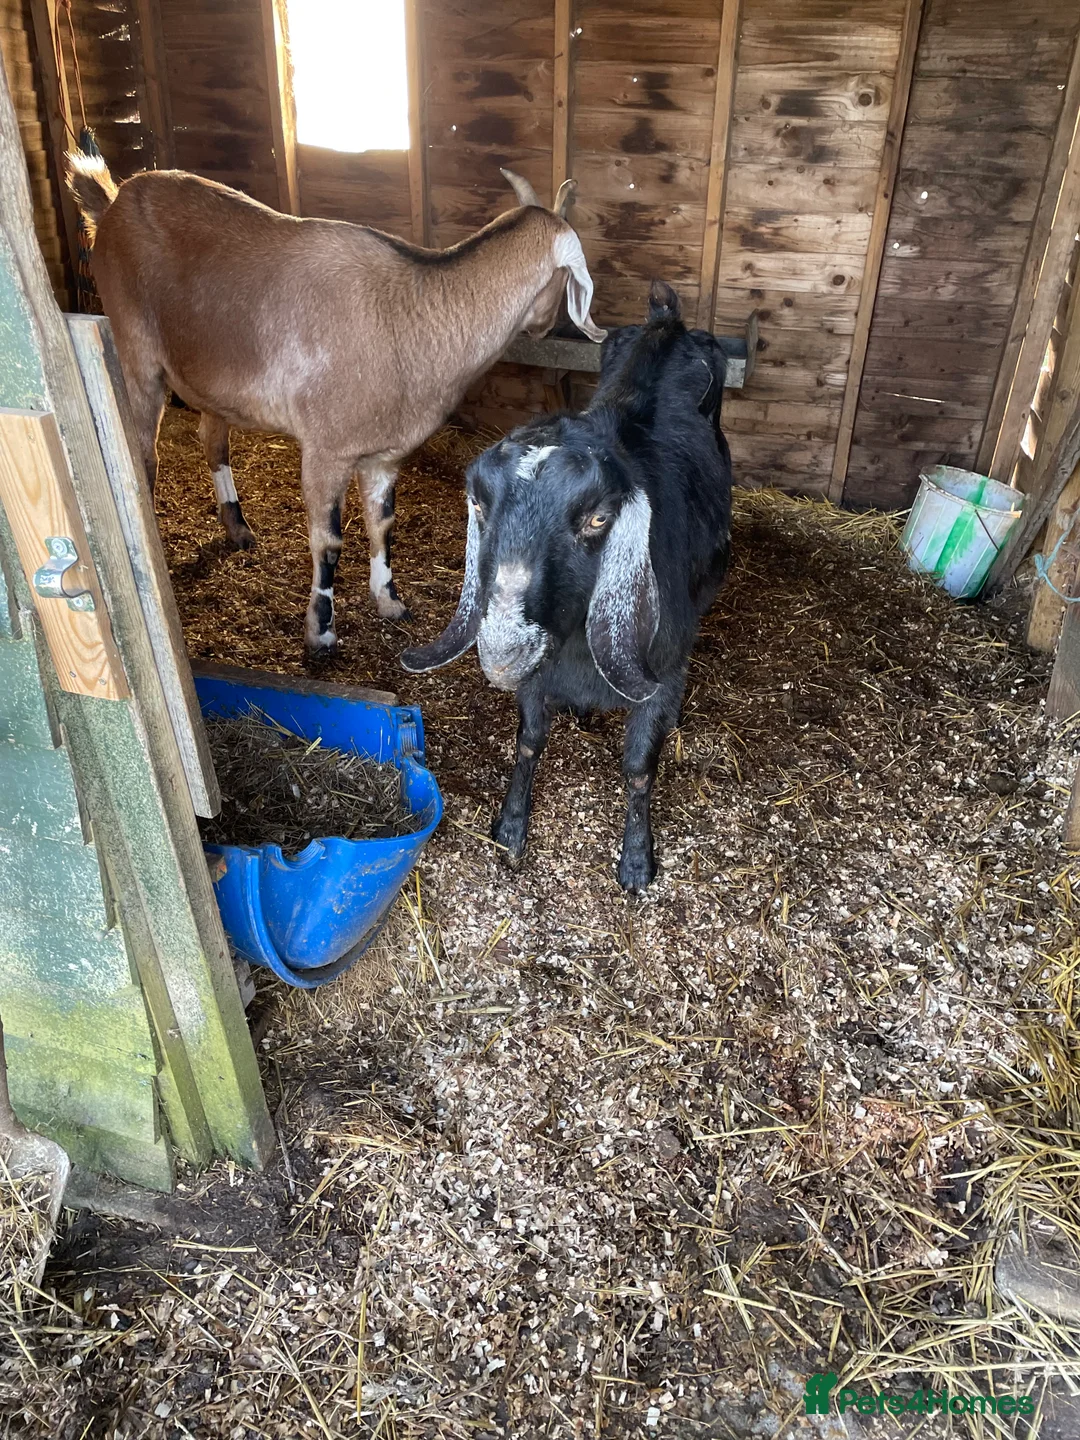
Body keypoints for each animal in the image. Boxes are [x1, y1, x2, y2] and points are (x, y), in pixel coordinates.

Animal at [64, 158, 605, 659]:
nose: (548, 327)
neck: (412, 310)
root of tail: (112, 202)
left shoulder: (385, 454)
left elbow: (383, 524)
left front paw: (389, 600)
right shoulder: (326, 451)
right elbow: (328, 542)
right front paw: (321, 629)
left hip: (210, 377)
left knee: (212, 438)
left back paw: (238, 527)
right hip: (135, 350)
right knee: (144, 453)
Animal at [401, 281, 733, 891]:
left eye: (598, 518)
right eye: (478, 503)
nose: (504, 652)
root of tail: (666, 321)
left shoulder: (660, 665)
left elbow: (639, 767)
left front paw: (637, 862)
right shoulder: (541, 672)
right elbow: (529, 740)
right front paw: (509, 830)